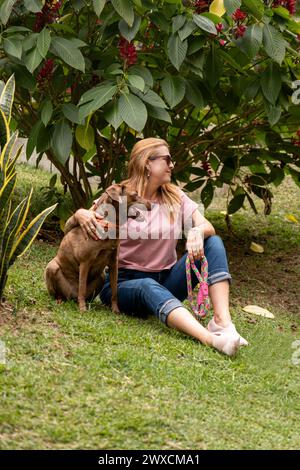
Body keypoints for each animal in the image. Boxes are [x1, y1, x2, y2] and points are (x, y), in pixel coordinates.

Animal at [44, 184, 151, 312]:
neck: (108, 223)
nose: (151, 204)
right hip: (52, 267)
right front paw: (82, 309)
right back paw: (61, 300)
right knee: (62, 293)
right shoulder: (85, 262)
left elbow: (115, 292)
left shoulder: (114, 263)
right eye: (135, 194)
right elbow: (82, 288)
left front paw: (115, 310)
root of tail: (71, 297)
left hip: (101, 276)